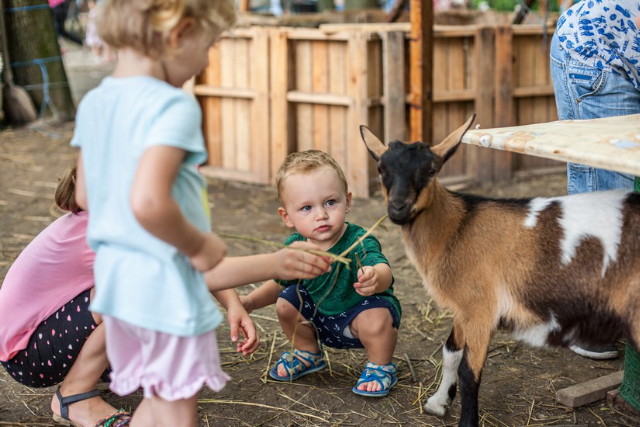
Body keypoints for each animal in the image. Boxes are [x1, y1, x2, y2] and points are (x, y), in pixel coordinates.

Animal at [360, 116, 640, 427]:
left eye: (431, 170)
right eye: (381, 168)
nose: (398, 208)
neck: (458, 228)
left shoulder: (481, 309)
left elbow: (469, 373)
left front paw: (465, 420)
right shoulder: (464, 309)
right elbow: (450, 351)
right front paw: (438, 402)